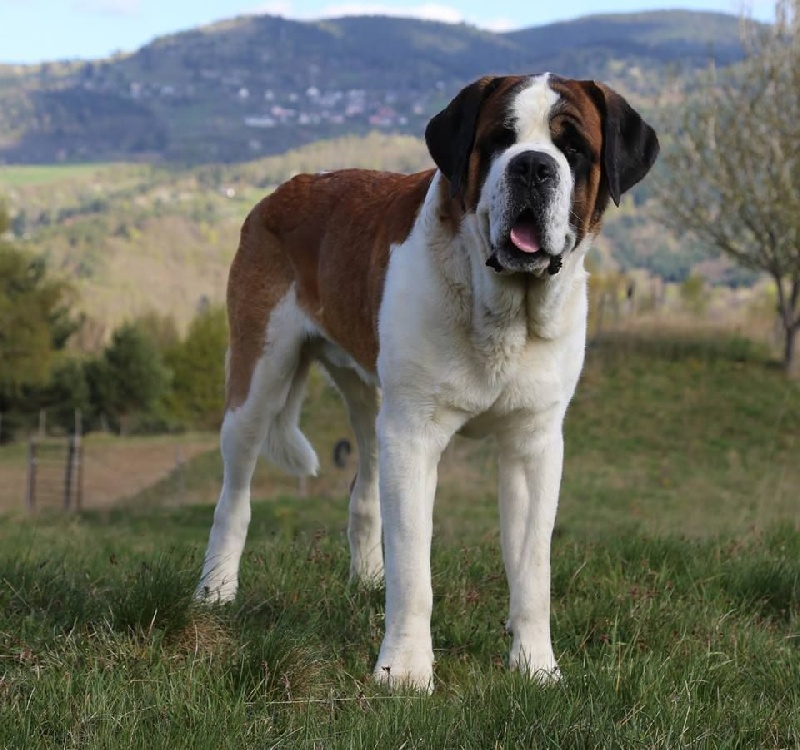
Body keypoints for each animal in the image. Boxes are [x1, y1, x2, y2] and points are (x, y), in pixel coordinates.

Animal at [197, 75, 660, 692]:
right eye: (499, 139)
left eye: (573, 148)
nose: (533, 167)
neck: (503, 311)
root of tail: (287, 187)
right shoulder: (414, 435)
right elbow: (415, 566)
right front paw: (405, 671)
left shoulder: (534, 445)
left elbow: (532, 568)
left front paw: (537, 668)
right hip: (259, 376)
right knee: (235, 494)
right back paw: (215, 591)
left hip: (371, 400)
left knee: (364, 487)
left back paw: (367, 581)